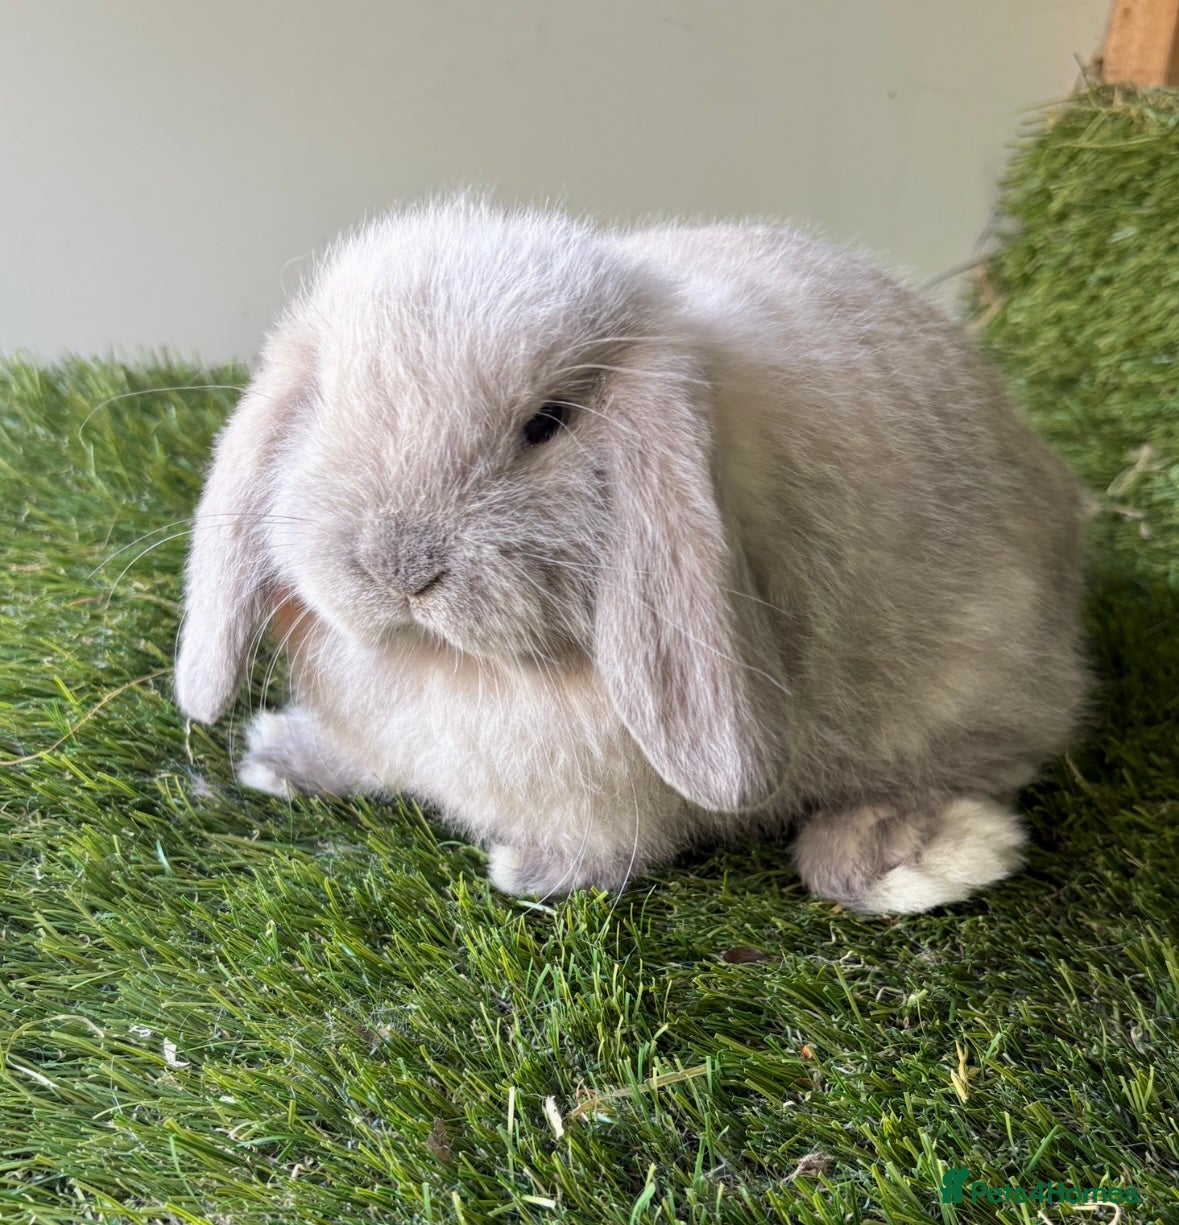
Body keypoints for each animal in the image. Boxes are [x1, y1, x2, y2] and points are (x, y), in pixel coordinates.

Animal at [175, 197, 1087, 913]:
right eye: (325, 401)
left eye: (546, 423)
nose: (400, 568)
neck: (449, 663)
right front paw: (282, 756)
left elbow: (619, 846)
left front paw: (530, 870)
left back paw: (903, 851)